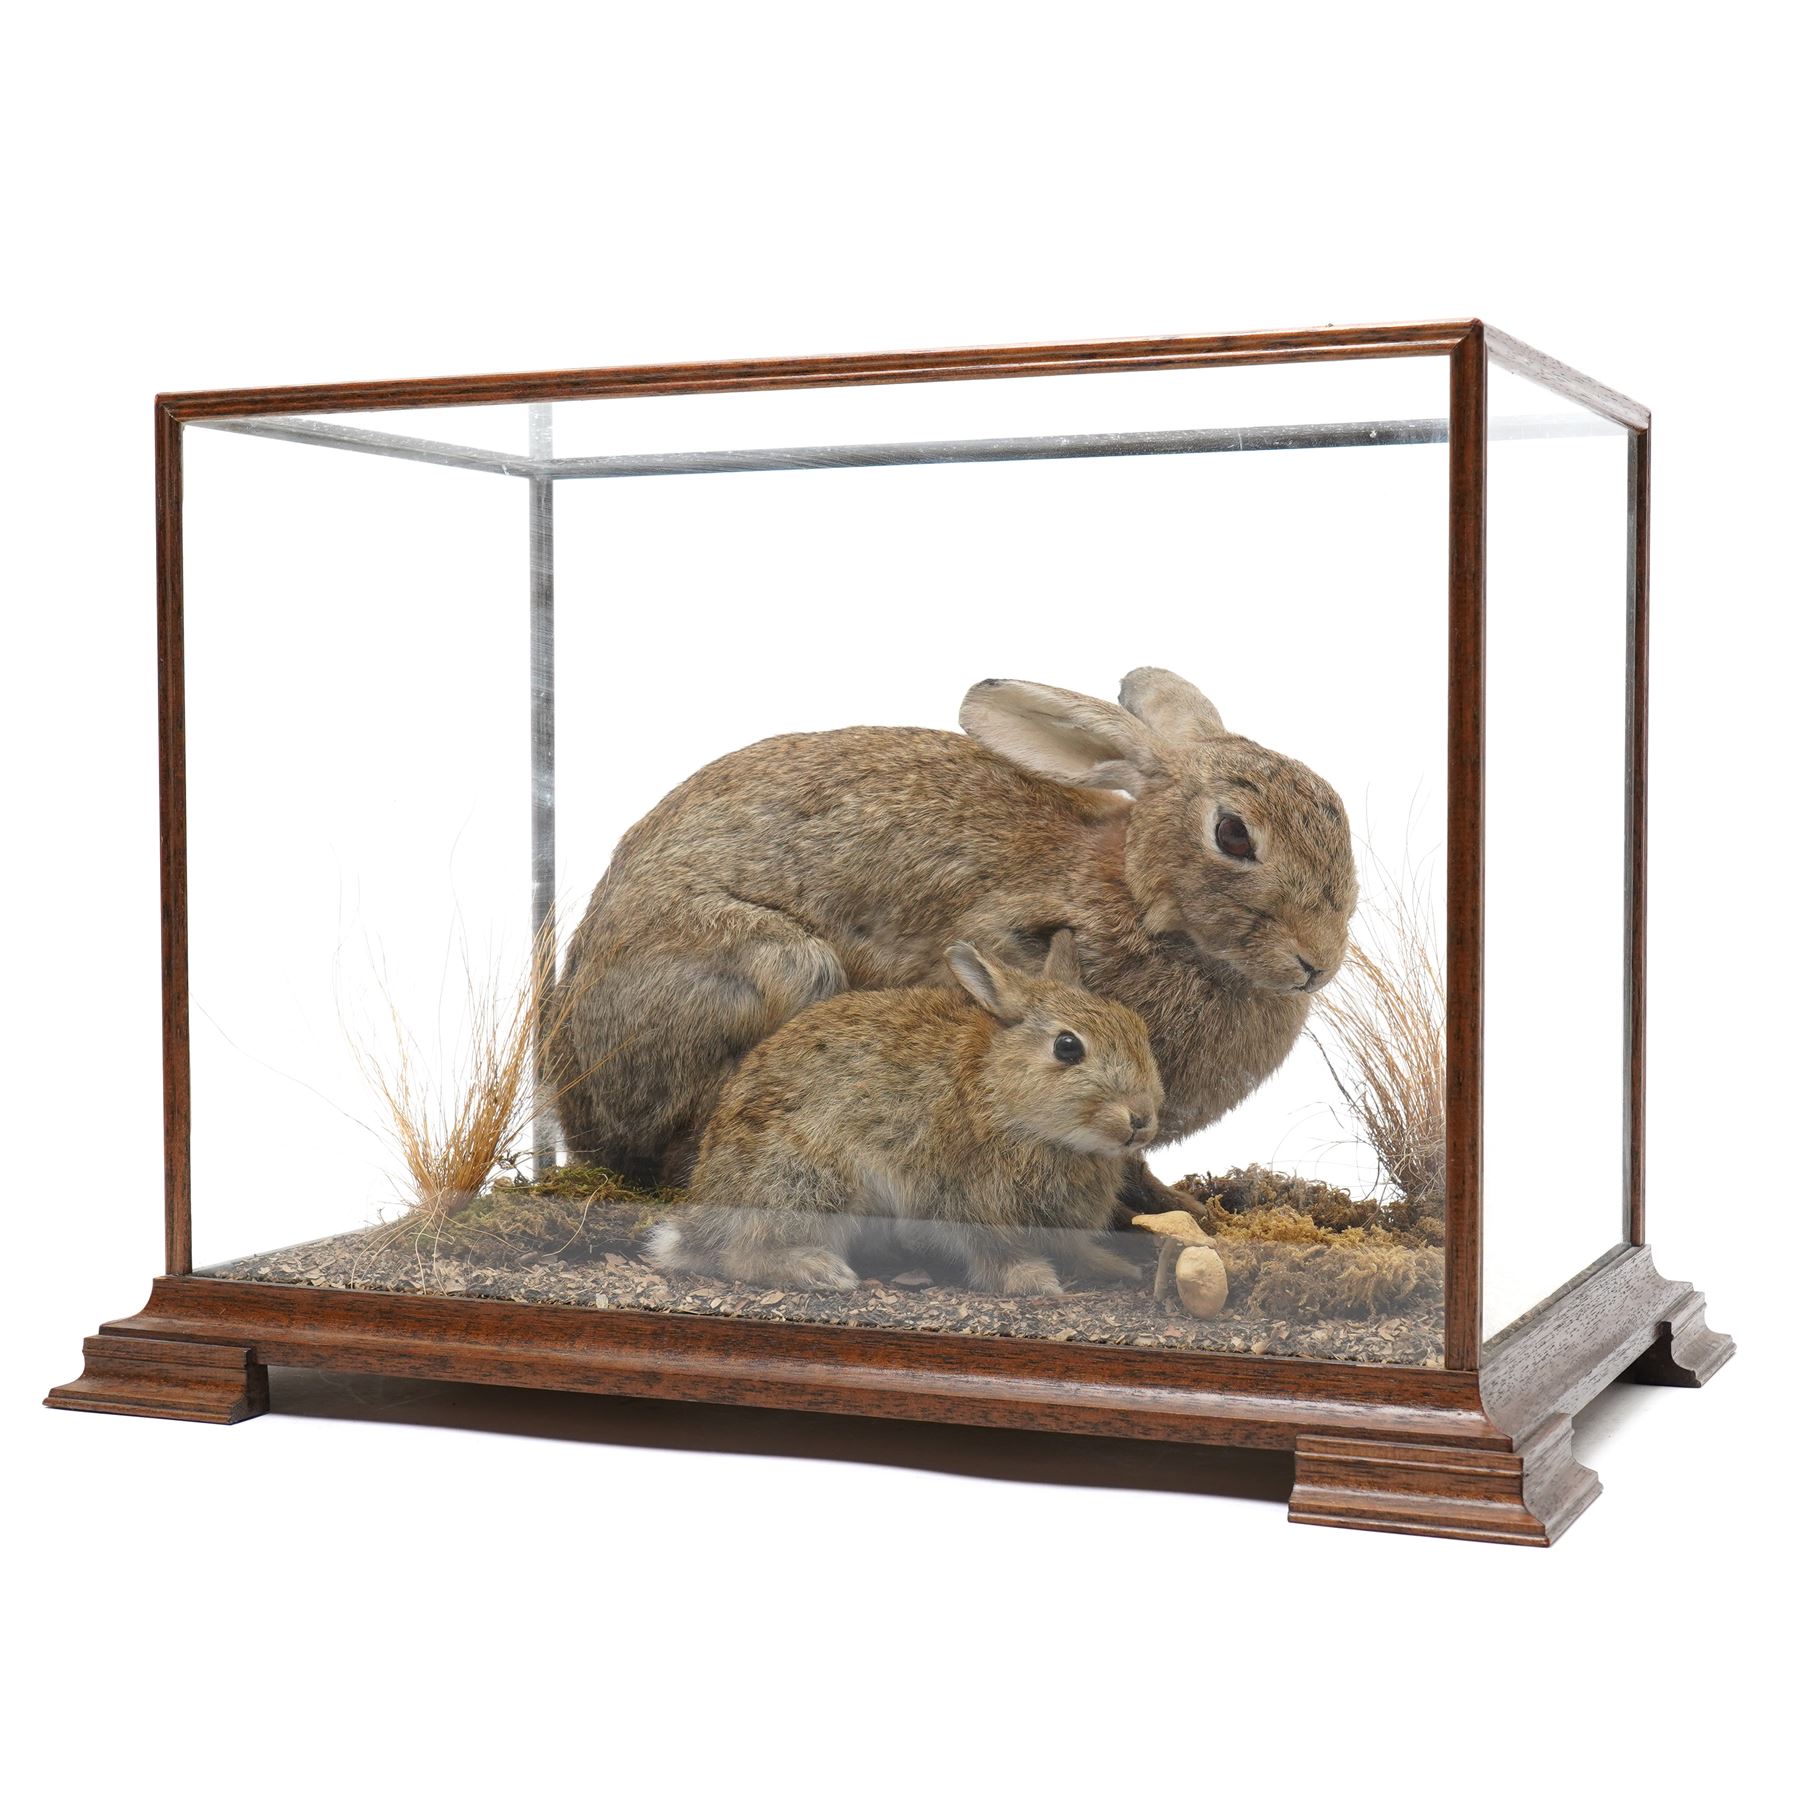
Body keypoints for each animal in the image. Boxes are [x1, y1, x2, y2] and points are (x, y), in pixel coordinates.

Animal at [549, 666, 1355, 1220]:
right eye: (1233, 834)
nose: (1317, 964)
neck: (1137, 894)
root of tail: (571, 1101)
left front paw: (1188, 1210)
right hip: (782, 969)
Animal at [646, 930, 1163, 1294]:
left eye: (1138, 1029)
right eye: (1067, 1047)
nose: (1141, 1119)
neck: (999, 1093)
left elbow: (1073, 1245)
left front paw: (1115, 1266)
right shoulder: (963, 1198)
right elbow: (993, 1249)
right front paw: (1034, 1281)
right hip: (813, 1182)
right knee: (742, 1254)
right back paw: (822, 1271)